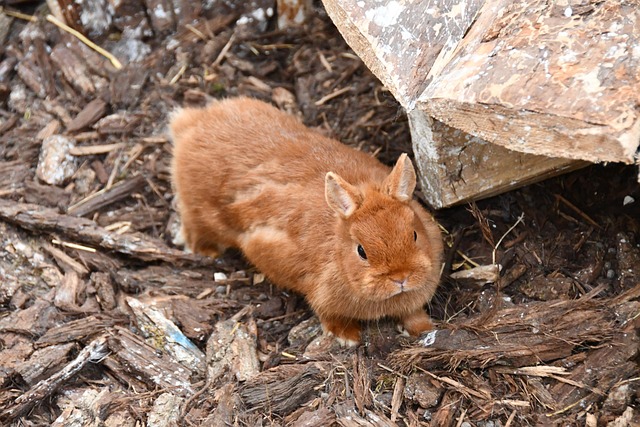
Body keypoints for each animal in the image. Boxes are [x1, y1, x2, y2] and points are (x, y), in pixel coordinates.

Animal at [170, 97, 443, 346]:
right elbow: (327, 314)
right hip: (200, 211)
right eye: (361, 251)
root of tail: (191, 124)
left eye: (414, 235)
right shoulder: (316, 291)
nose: (401, 278)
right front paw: (347, 337)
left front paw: (424, 328)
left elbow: (412, 313)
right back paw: (205, 251)